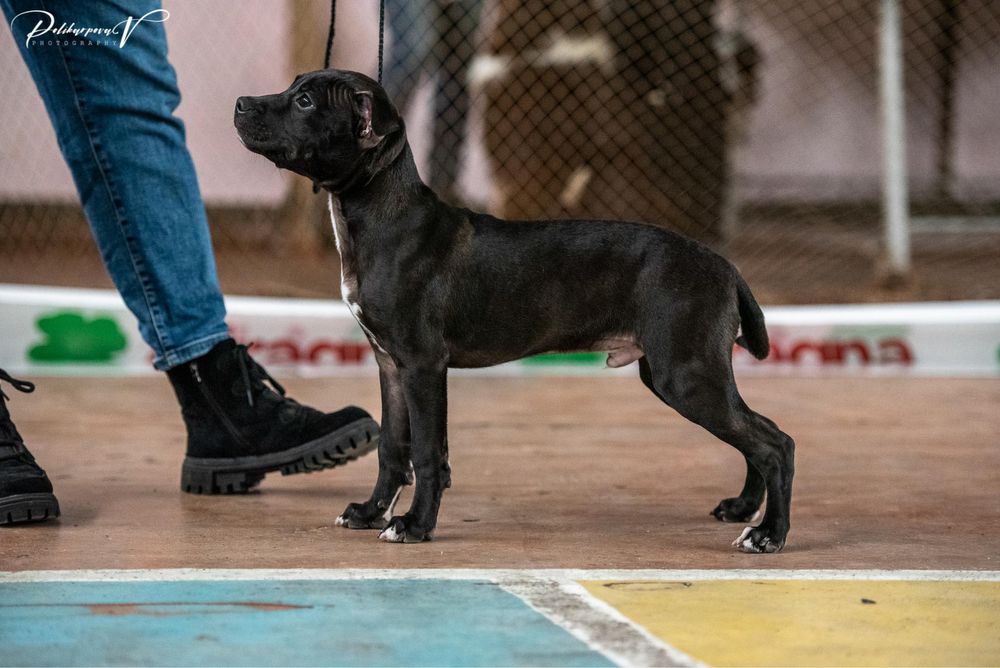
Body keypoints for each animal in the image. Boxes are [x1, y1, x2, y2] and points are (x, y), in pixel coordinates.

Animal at [236, 68, 796, 552]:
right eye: (294, 88)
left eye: (306, 102)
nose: (240, 103)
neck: (384, 220)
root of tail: (723, 265)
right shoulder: (389, 365)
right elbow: (393, 450)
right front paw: (372, 513)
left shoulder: (422, 365)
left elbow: (427, 452)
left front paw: (415, 525)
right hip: (680, 374)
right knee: (756, 435)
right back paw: (744, 509)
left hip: (686, 374)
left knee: (775, 443)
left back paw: (768, 534)